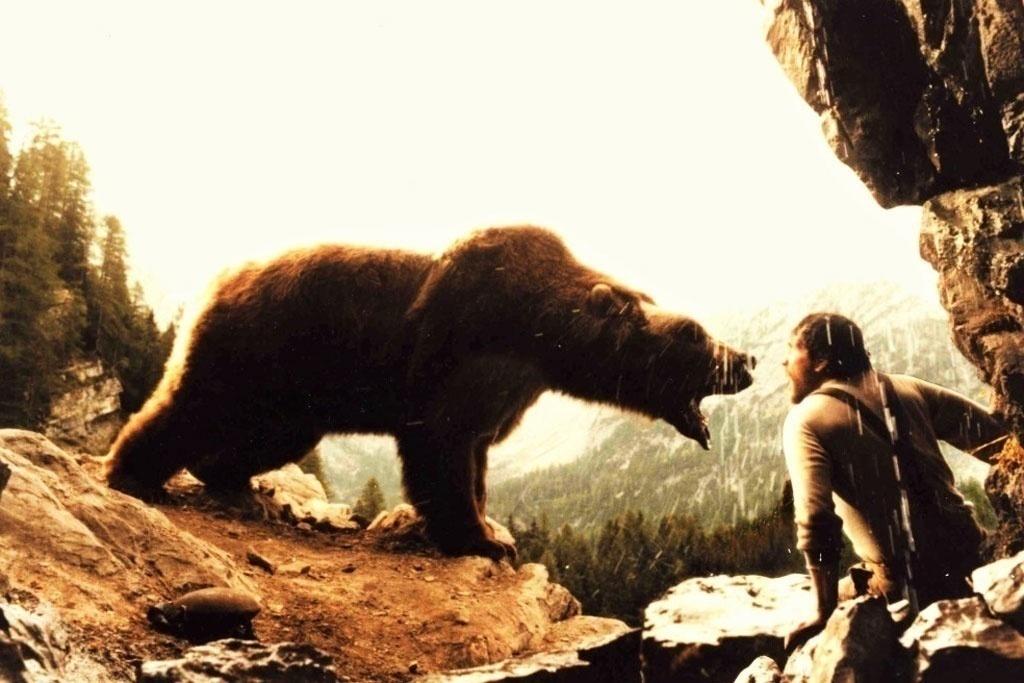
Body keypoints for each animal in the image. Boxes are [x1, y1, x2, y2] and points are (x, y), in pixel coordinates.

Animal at [106, 226, 756, 559]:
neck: (540, 333)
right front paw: (479, 539)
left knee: (268, 438)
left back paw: (242, 484)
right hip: (260, 347)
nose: (746, 359)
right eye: (694, 334)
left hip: (296, 397)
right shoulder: (458, 348)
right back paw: (132, 473)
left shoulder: (509, 388)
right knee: (193, 406)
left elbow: (477, 451)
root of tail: (221, 277)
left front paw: (493, 527)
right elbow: (442, 448)